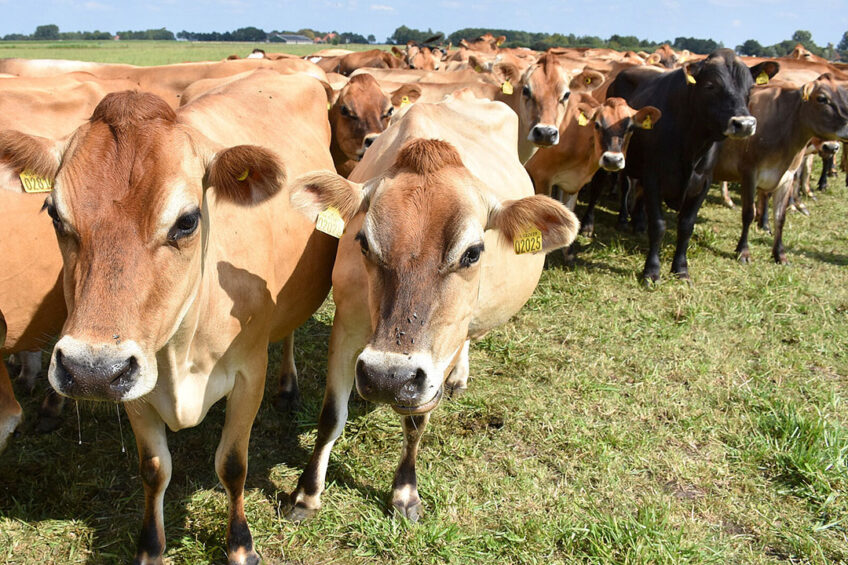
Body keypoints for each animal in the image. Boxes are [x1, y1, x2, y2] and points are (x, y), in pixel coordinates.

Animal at [0, 71, 338, 564]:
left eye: (187, 220)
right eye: (54, 213)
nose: (90, 370)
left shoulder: (249, 374)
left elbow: (233, 465)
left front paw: (241, 544)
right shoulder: (135, 382)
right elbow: (154, 469)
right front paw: (151, 547)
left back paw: (289, 386)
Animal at [282, 91, 580, 520]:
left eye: (473, 252)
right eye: (363, 242)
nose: (388, 378)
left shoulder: (440, 348)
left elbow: (415, 421)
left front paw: (404, 492)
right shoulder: (347, 323)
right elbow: (330, 417)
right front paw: (306, 494)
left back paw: (458, 378)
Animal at [608, 49, 780, 282]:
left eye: (750, 88)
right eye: (710, 85)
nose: (744, 124)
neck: (692, 143)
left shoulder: (703, 182)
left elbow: (686, 225)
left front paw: (681, 268)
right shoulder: (653, 177)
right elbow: (658, 225)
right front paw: (651, 271)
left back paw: (639, 223)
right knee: (626, 187)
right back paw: (625, 220)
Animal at [716, 74, 848, 264]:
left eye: (846, 97)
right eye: (822, 98)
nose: (832, 147)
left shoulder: (786, 177)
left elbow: (780, 217)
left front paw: (780, 254)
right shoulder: (749, 172)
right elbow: (748, 213)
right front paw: (743, 251)